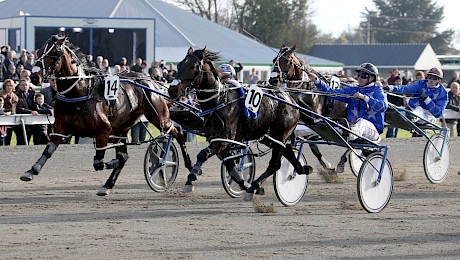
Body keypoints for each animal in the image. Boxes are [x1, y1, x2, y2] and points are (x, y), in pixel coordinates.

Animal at [22, 34, 192, 195]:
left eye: (54, 52)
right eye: (38, 52)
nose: (34, 76)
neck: (80, 90)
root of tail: (149, 79)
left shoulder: (104, 129)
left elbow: (99, 163)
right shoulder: (60, 128)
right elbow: (48, 150)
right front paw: (30, 171)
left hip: (159, 117)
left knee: (177, 132)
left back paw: (185, 167)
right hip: (121, 128)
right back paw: (107, 185)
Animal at [167, 46, 310, 197]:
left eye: (192, 66)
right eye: (179, 65)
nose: (172, 90)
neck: (220, 100)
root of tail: (291, 100)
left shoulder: (223, 140)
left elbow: (203, 154)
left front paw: (191, 177)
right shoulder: (219, 141)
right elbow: (231, 167)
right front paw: (244, 184)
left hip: (280, 135)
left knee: (275, 164)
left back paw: (256, 185)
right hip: (269, 137)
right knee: (287, 151)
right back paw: (300, 170)